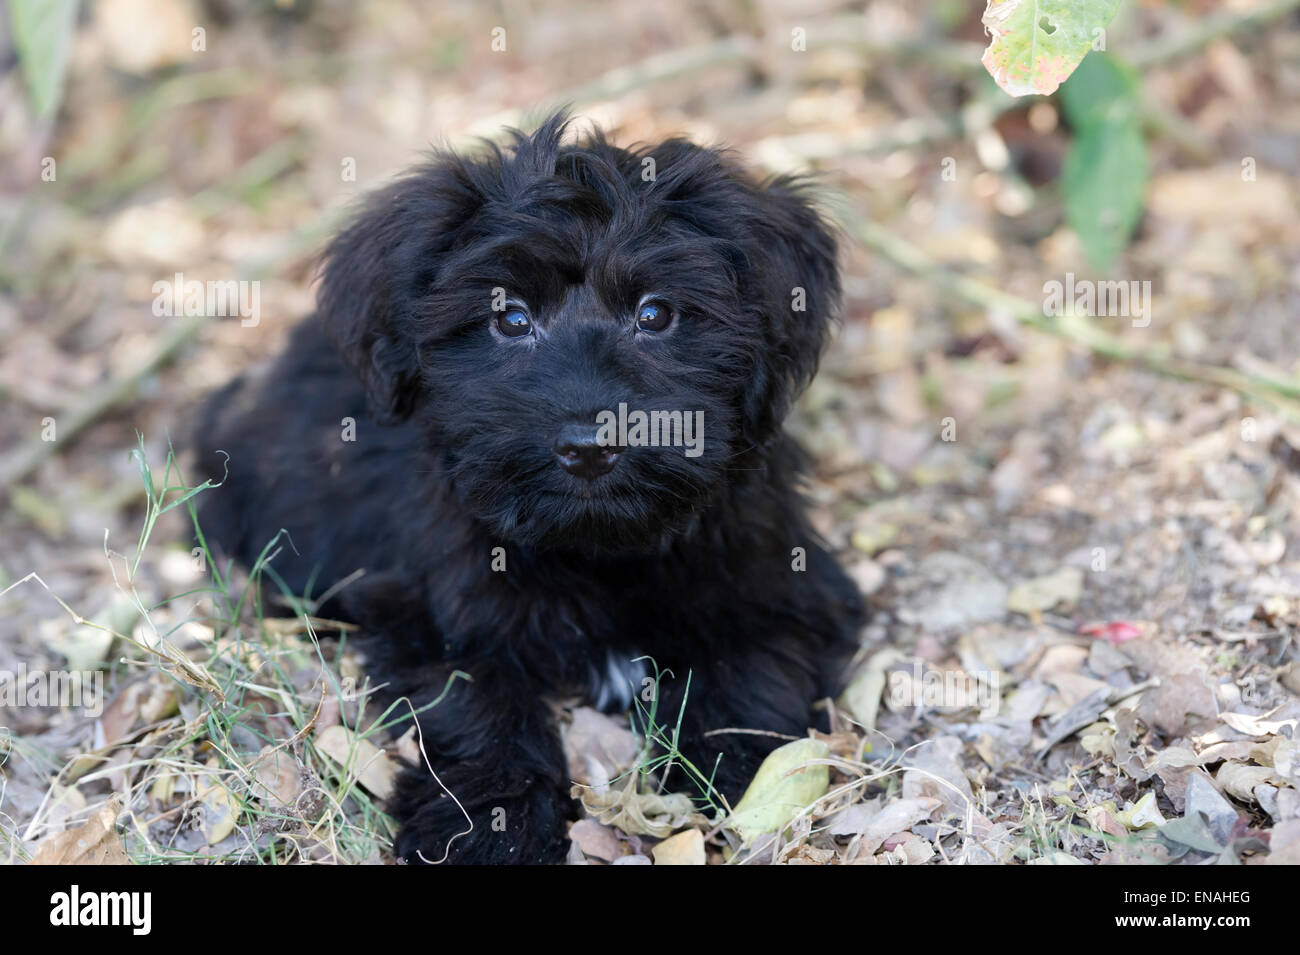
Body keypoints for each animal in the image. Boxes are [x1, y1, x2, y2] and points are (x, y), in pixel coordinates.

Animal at [192, 113, 863, 867]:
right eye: (509, 319)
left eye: (656, 314)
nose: (589, 445)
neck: (597, 550)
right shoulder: (432, 605)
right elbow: (479, 705)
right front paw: (493, 826)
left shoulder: (780, 574)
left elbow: (750, 662)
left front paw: (740, 776)